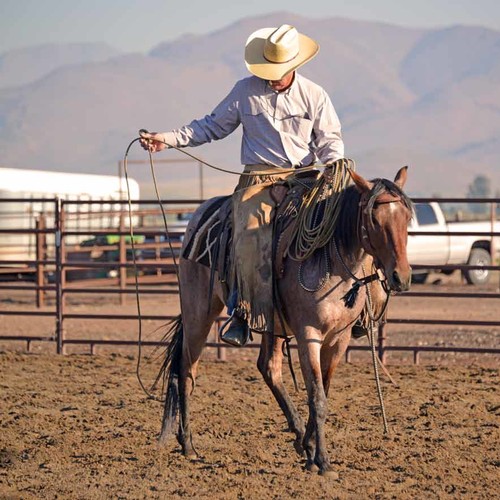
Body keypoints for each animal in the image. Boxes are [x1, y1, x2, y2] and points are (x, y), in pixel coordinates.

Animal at [158, 165, 412, 476]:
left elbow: (323, 392)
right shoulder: (308, 336)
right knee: (186, 368)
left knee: (268, 367)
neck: (334, 262)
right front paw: (322, 461)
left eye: (407, 217)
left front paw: (310, 449)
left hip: (270, 321)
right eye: (374, 219)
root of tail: (200, 215)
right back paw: (188, 445)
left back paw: (298, 435)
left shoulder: (338, 339)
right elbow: (317, 397)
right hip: (199, 311)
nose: (402, 277)